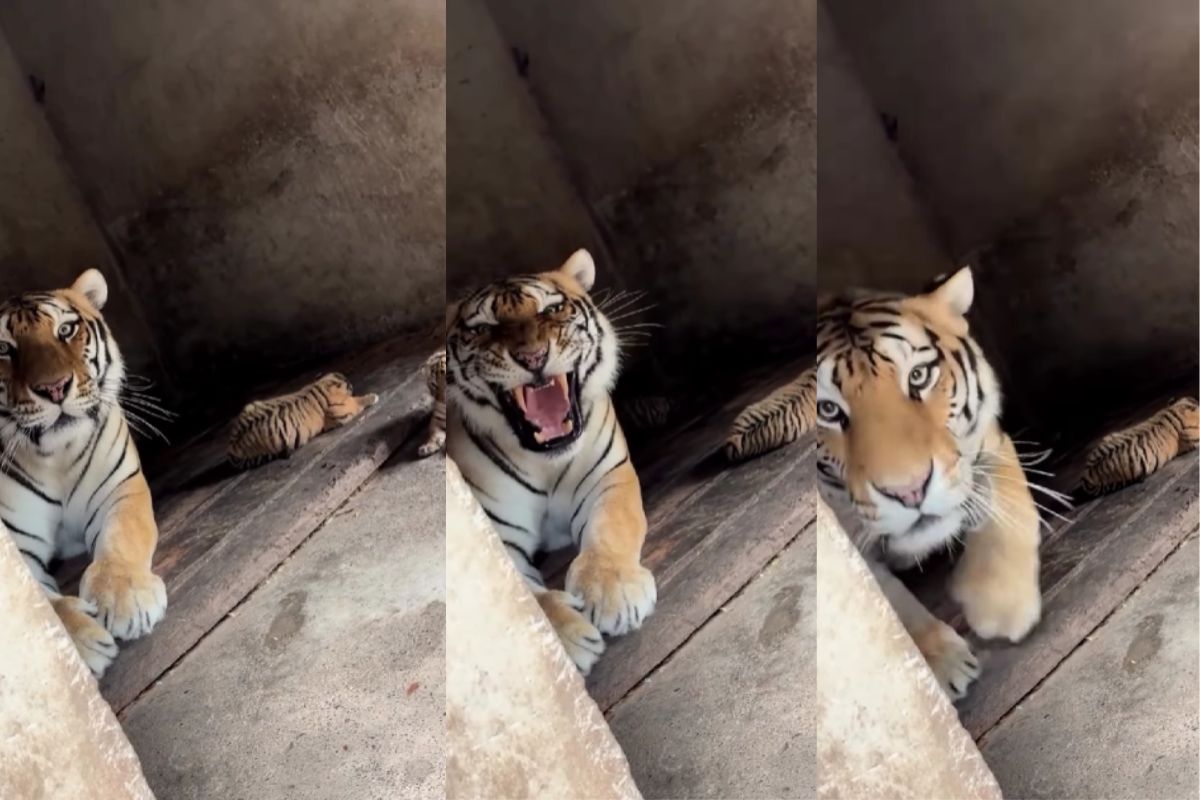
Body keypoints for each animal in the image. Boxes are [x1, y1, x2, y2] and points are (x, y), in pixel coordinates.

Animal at [0, 269, 168, 677]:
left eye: (65, 330)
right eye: (3, 349)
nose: (54, 388)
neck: (55, 457)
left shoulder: (120, 490)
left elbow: (122, 538)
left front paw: (127, 599)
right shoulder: (17, 548)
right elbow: (43, 611)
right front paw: (78, 645)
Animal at [227, 373, 378, 469]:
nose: (351, 385)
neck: (321, 385)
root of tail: (232, 445)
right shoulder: (342, 412)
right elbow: (356, 402)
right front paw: (372, 397)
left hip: (250, 405)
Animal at [445, 248, 656, 675]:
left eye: (553, 309)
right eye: (483, 328)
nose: (532, 356)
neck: (545, 460)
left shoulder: (608, 478)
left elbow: (612, 528)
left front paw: (614, 592)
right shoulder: (497, 535)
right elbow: (523, 599)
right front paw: (564, 640)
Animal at [812, 267, 1042, 701]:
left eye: (918, 377)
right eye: (828, 410)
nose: (910, 491)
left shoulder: (987, 442)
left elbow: (1009, 503)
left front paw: (1001, 605)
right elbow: (886, 599)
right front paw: (943, 664)